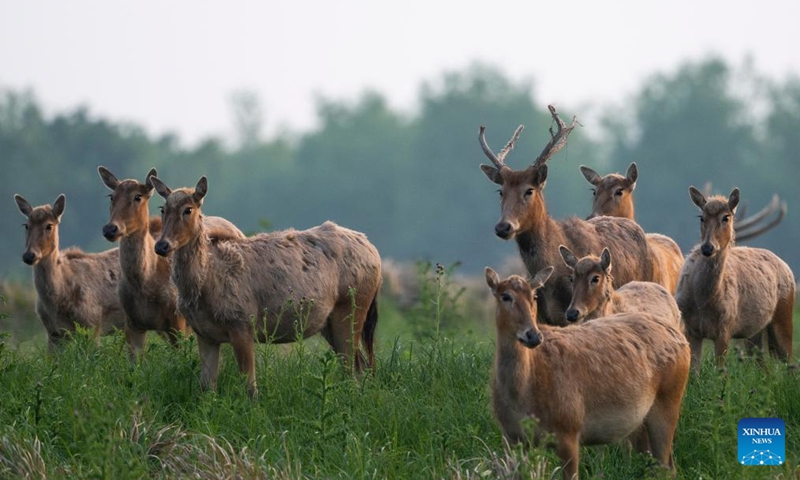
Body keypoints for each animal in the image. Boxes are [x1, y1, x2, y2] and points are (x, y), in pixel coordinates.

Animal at [97, 166, 246, 361]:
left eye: (138, 197)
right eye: (111, 196)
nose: (110, 229)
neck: (144, 283)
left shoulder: (178, 322)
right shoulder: (131, 323)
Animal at [150, 175, 382, 397]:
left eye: (188, 209)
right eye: (162, 209)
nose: (161, 246)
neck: (206, 286)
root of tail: (375, 253)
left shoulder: (242, 322)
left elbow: (250, 388)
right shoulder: (205, 334)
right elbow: (206, 388)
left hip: (353, 306)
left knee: (354, 367)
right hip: (330, 322)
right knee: (360, 366)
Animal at [486, 266, 690, 479]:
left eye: (534, 295)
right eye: (505, 296)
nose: (533, 335)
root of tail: (682, 339)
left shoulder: (569, 428)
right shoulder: (510, 436)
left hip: (669, 398)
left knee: (666, 466)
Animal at [676, 187, 794, 371]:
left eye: (726, 217)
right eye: (701, 217)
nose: (707, 247)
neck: (702, 302)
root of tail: (786, 266)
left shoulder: (725, 326)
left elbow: (720, 371)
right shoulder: (690, 328)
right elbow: (694, 373)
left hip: (784, 313)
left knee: (791, 363)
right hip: (755, 332)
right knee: (763, 366)